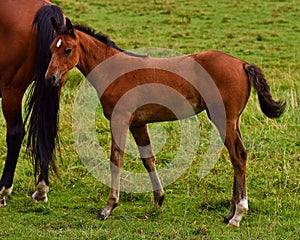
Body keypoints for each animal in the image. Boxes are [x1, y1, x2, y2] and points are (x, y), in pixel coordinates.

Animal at [0, 0, 64, 206]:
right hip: (54, 83)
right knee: (48, 130)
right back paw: (41, 189)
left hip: (11, 89)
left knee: (16, 132)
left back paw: (3, 190)